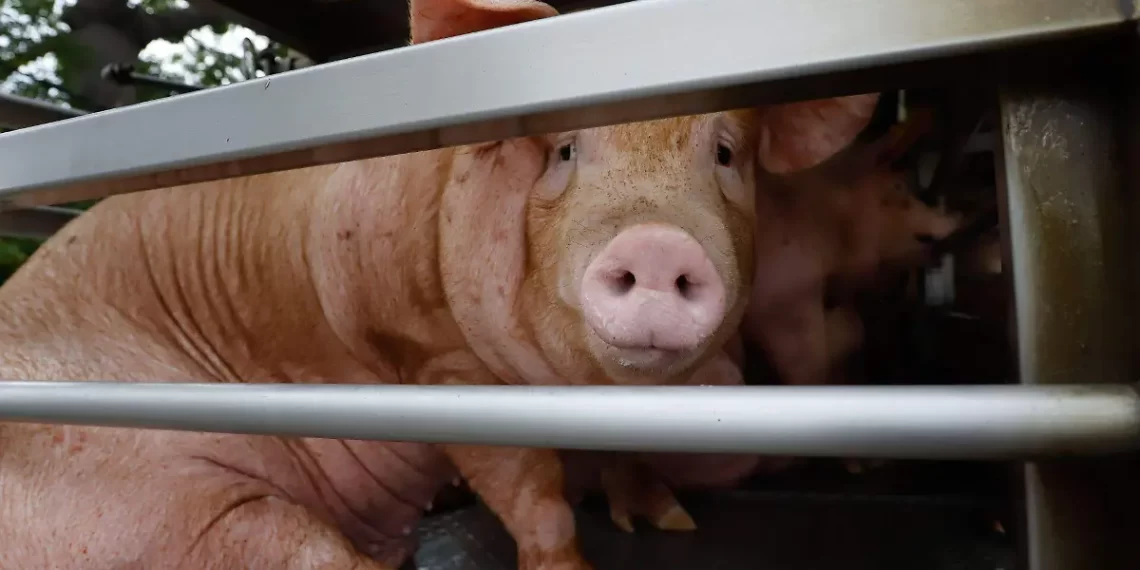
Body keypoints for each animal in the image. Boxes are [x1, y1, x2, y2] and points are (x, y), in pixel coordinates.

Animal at [0, 1, 879, 569]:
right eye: (563, 151)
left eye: (725, 153)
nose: (658, 242)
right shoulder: (437, 366)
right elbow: (537, 500)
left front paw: (674, 525)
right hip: (162, 503)